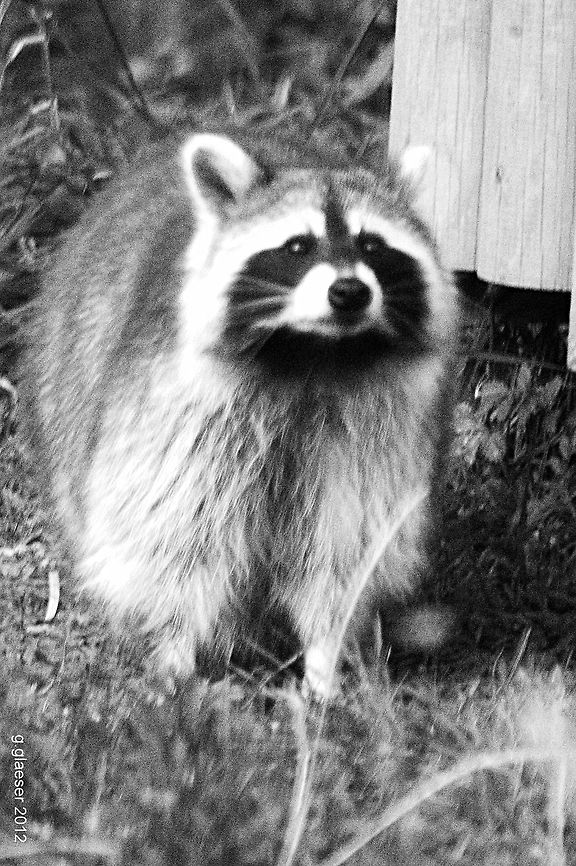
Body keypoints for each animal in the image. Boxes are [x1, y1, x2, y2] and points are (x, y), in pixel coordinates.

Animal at [26, 128, 458, 695]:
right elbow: (174, 533)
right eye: (297, 246)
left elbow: (347, 547)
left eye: (372, 245)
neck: (316, 354)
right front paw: (174, 651)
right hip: (66, 385)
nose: (349, 291)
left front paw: (326, 656)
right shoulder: (180, 407)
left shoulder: (376, 427)